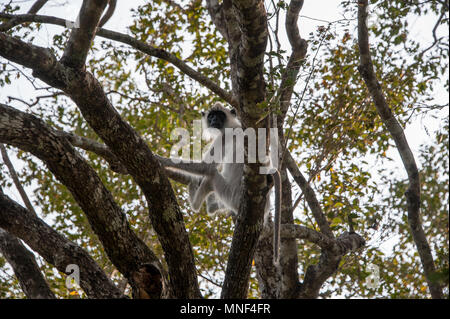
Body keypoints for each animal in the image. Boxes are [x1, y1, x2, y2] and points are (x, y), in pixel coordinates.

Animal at [156, 103, 280, 264]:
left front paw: (160, 159)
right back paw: (212, 206)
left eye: (219, 115)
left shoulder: (224, 137)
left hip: (229, 194)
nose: (214, 120)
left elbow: (205, 167)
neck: (234, 126)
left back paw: (197, 202)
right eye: (211, 116)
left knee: (212, 175)